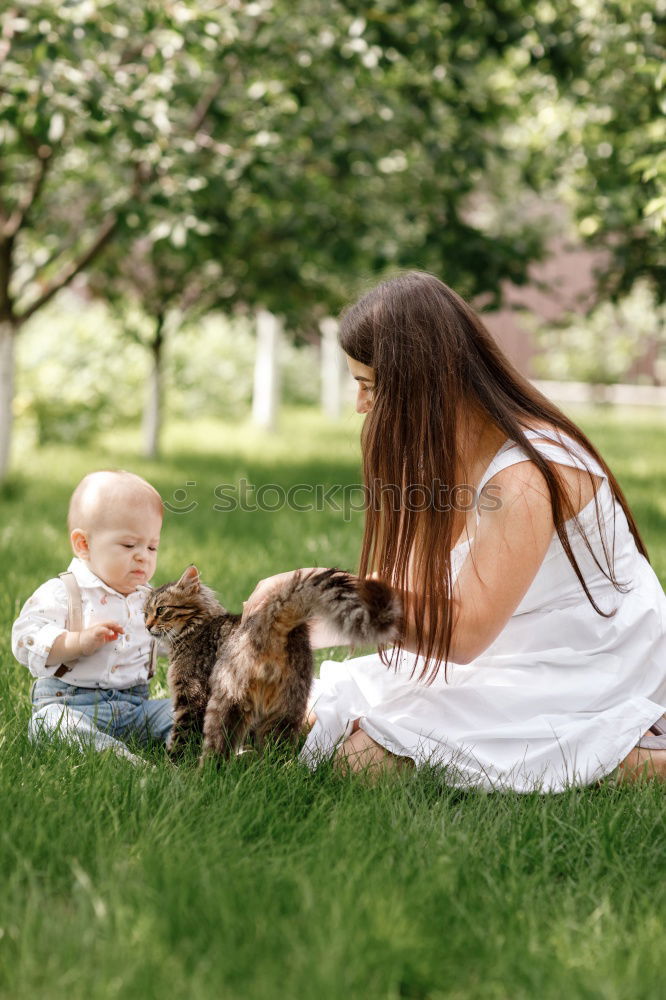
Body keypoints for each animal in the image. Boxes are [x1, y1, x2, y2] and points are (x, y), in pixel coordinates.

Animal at [141, 568, 400, 760]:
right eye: (144, 613)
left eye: (161, 610)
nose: (146, 626)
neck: (195, 630)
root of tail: (271, 623)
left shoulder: (192, 698)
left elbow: (181, 739)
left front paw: (172, 767)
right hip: (287, 708)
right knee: (276, 753)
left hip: (225, 700)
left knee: (217, 752)